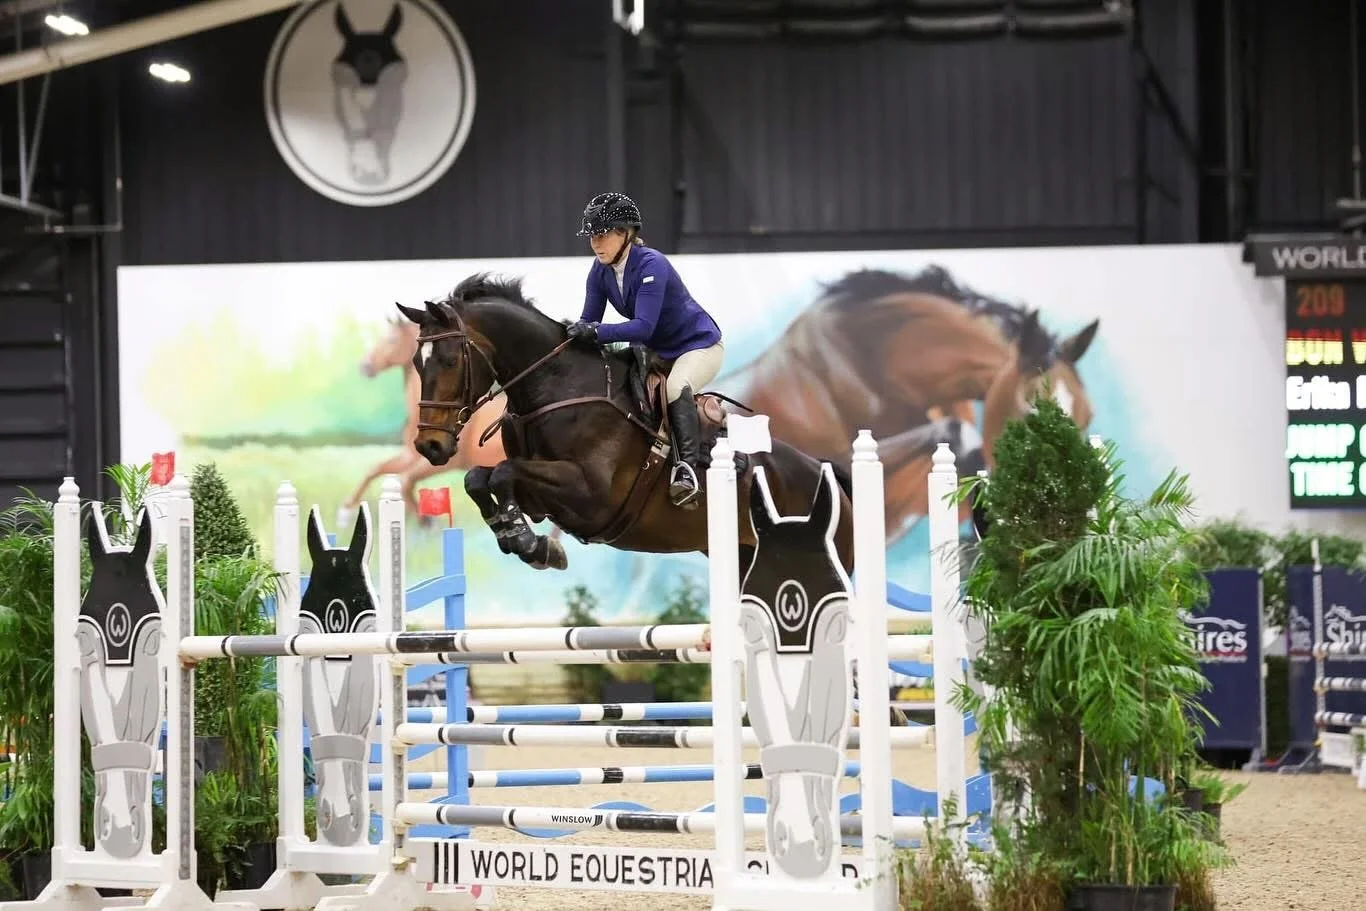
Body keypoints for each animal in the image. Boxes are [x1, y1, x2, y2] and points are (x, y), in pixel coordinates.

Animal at [394, 273, 859, 576]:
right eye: (417, 361)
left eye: (449, 360)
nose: (430, 446)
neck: (556, 387)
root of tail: (825, 473)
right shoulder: (544, 498)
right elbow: (479, 478)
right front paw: (525, 540)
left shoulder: (590, 493)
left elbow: (503, 473)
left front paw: (529, 544)